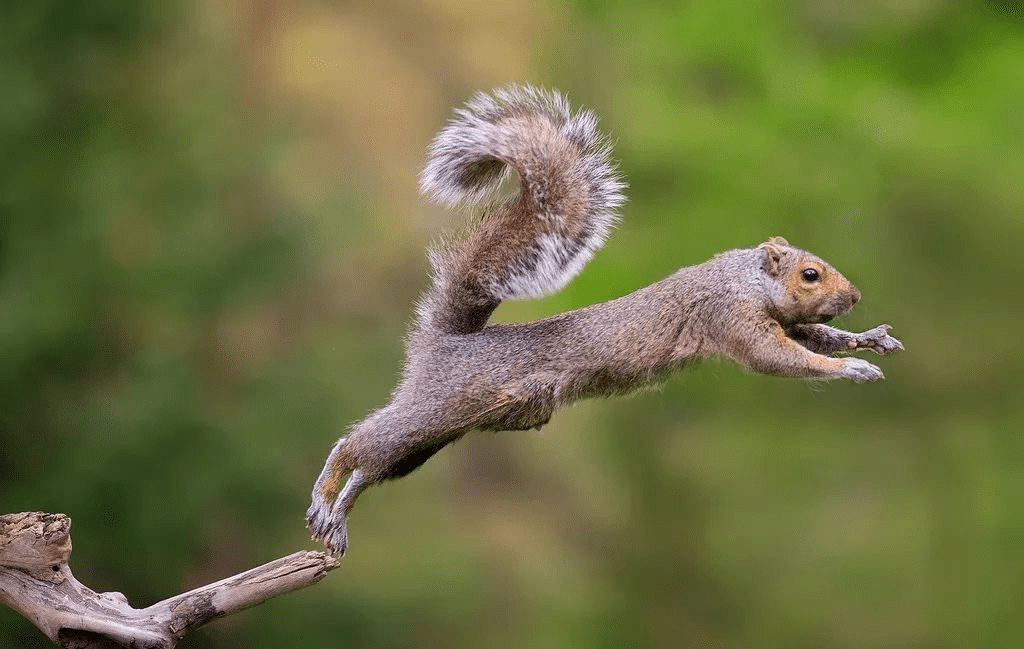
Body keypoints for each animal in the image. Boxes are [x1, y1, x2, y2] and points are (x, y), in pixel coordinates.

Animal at [303, 83, 905, 552]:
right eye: (810, 274)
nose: (855, 295)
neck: (745, 279)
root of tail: (444, 341)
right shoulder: (731, 317)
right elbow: (782, 358)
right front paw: (853, 370)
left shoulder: (778, 318)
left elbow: (816, 336)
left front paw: (867, 339)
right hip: (438, 405)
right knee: (360, 442)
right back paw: (327, 488)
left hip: (439, 432)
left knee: (377, 464)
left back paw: (339, 512)